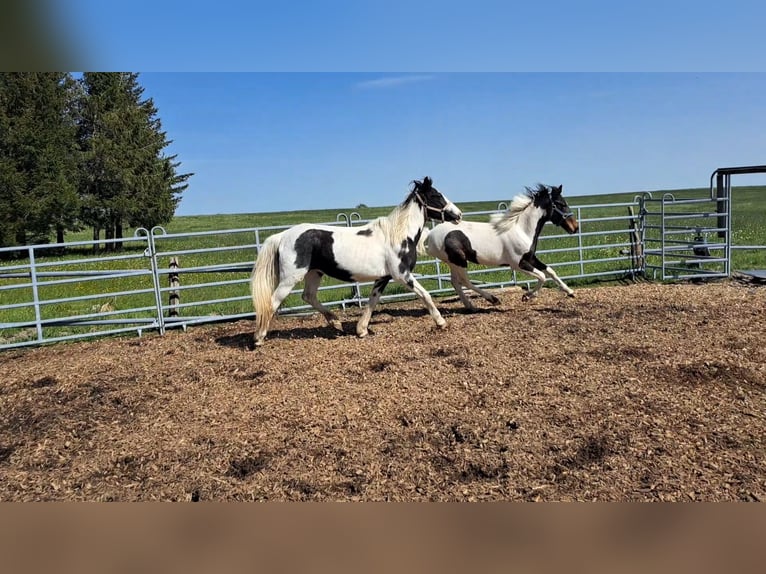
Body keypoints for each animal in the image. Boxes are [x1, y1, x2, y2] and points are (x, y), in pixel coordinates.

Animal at [252, 177, 462, 346]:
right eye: (436, 195)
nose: (458, 215)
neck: (399, 236)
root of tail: (282, 236)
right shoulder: (402, 274)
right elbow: (425, 294)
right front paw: (441, 322)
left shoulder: (383, 277)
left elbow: (372, 300)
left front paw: (361, 330)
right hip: (290, 278)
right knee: (272, 302)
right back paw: (258, 338)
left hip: (314, 273)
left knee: (308, 296)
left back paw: (335, 322)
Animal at [424, 184, 580, 310]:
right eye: (560, 204)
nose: (575, 227)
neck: (521, 230)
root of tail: (431, 234)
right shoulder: (518, 264)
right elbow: (542, 276)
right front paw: (527, 296)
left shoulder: (530, 258)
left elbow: (550, 271)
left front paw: (570, 292)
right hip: (459, 261)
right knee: (464, 281)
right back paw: (493, 300)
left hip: (452, 263)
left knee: (455, 282)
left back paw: (470, 306)